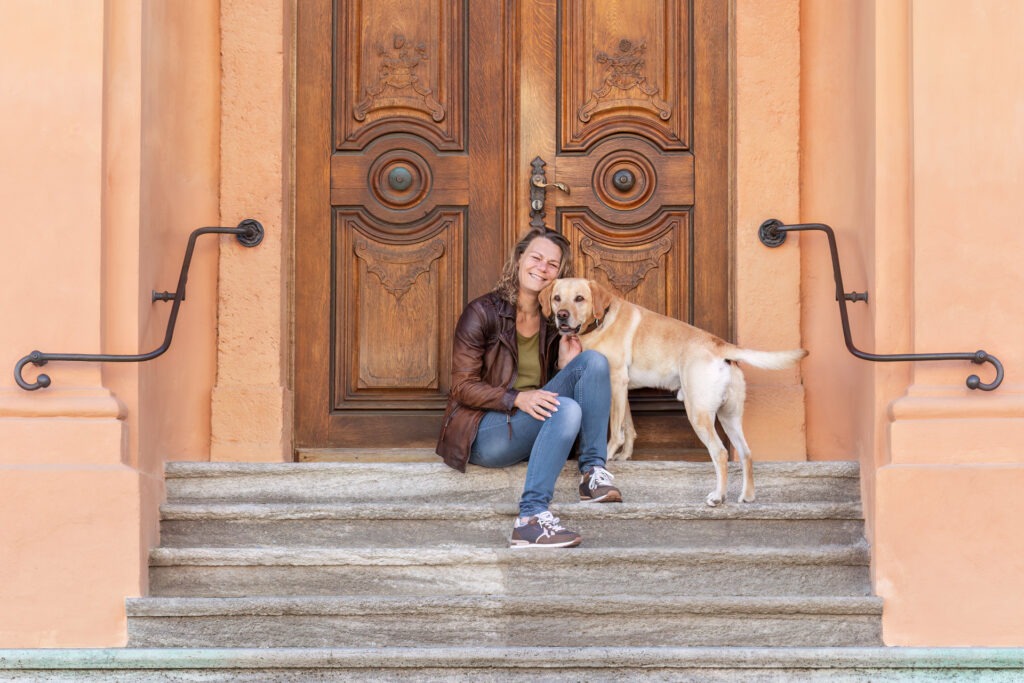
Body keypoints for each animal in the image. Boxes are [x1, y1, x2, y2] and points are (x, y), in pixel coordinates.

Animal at [544, 278, 806, 507]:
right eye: (557, 298)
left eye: (579, 298)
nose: (562, 315)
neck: (601, 321)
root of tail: (721, 345)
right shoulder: (623, 388)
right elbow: (629, 426)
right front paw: (626, 455)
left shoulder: (615, 381)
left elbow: (617, 431)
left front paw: (605, 459)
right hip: (729, 416)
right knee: (746, 453)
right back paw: (748, 496)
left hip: (698, 413)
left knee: (721, 453)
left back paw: (718, 497)